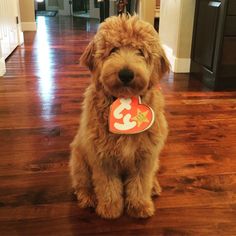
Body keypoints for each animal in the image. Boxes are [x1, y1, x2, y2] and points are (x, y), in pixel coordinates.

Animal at [69, 14, 170, 219]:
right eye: (113, 49)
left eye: (140, 51)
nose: (126, 74)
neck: (124, 100)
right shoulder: (102, 158)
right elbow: (108, 185)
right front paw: (110, 208)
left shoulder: (145, 157)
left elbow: (140, 184)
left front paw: (139, 206)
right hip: (79, 160)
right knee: (82, 183)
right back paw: (88, 197)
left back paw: (154, 187)